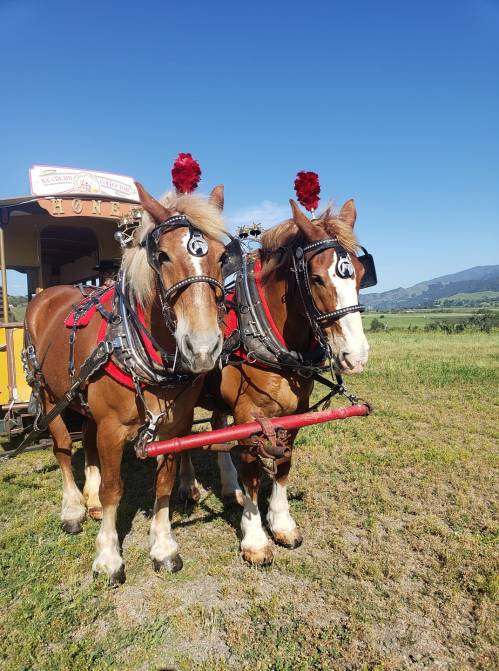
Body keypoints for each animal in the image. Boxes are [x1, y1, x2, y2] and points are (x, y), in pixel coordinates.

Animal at [24, 181, 228, 584]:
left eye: (224, 256)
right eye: (162, 256)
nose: (203, 348)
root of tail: (49, 294)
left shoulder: (173, 427)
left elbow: (163, 483)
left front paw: (163, 547)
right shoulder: (113, 428)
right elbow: (113, 489)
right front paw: (108, 556)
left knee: (85, 441)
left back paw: (88, 499)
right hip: (49, 392)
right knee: (62, 448)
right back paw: (74, 508)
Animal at [180, 198, 371, 565]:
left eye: (361, 273)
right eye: (315, 278)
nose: (356, 355)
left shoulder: (294, 413)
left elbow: (283, 465)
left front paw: (282, 524)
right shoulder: (249, 417)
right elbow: (253, 475)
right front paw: (254, 538)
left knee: (216, 425)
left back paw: (229, 489)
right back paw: (190, 487)